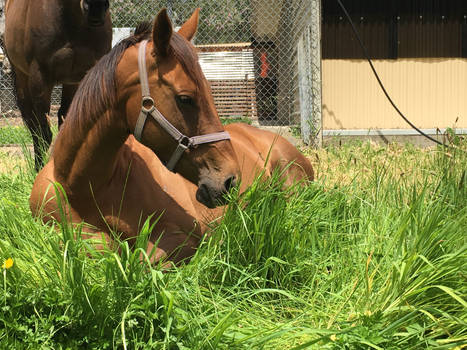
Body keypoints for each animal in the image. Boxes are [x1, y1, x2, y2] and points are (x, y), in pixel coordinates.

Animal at [4, 0, 111, 170]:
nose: (96, 8)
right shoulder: (40, 78)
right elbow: (44, 134)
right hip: (22, 79)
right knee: (33, 125)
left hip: (71, 83)